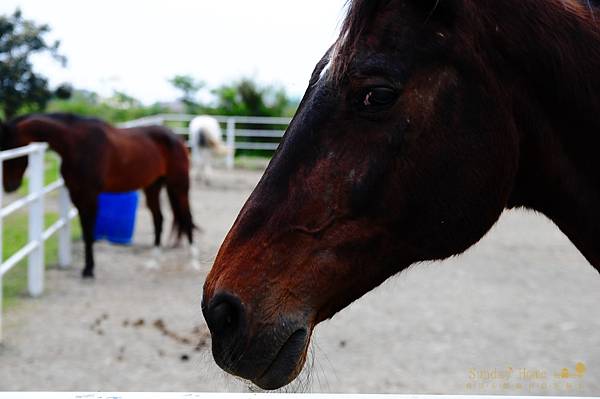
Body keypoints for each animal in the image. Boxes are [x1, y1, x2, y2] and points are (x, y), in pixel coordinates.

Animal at [0, 113, 192, 278]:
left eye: (14, 150)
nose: (9, 186)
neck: (77, 145)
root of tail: (177, 138)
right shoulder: (77, 196)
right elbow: (86, 232)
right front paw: (87, 268)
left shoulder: (90, 196)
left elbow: (90, 233)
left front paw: (89, 270)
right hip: (153, 187)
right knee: (159, 220)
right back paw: (154, 261)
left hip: (179, 186)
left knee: (186, 218)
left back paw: (193, 262)